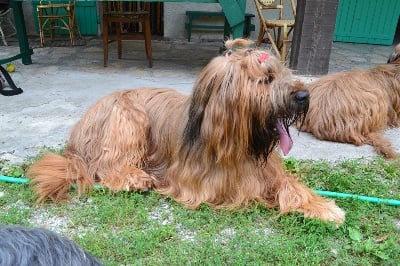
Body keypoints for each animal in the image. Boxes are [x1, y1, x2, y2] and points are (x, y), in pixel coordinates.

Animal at [28, 39, 346, 222]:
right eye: (266, 79)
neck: (234, 140)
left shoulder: (267, 169)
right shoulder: (210, 185)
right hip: (128, 118)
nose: (304, 95)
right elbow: (247, 189)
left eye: (283, 72)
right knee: (103, 163)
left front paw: (325, 207)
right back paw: (134, 178)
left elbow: (290, 184)